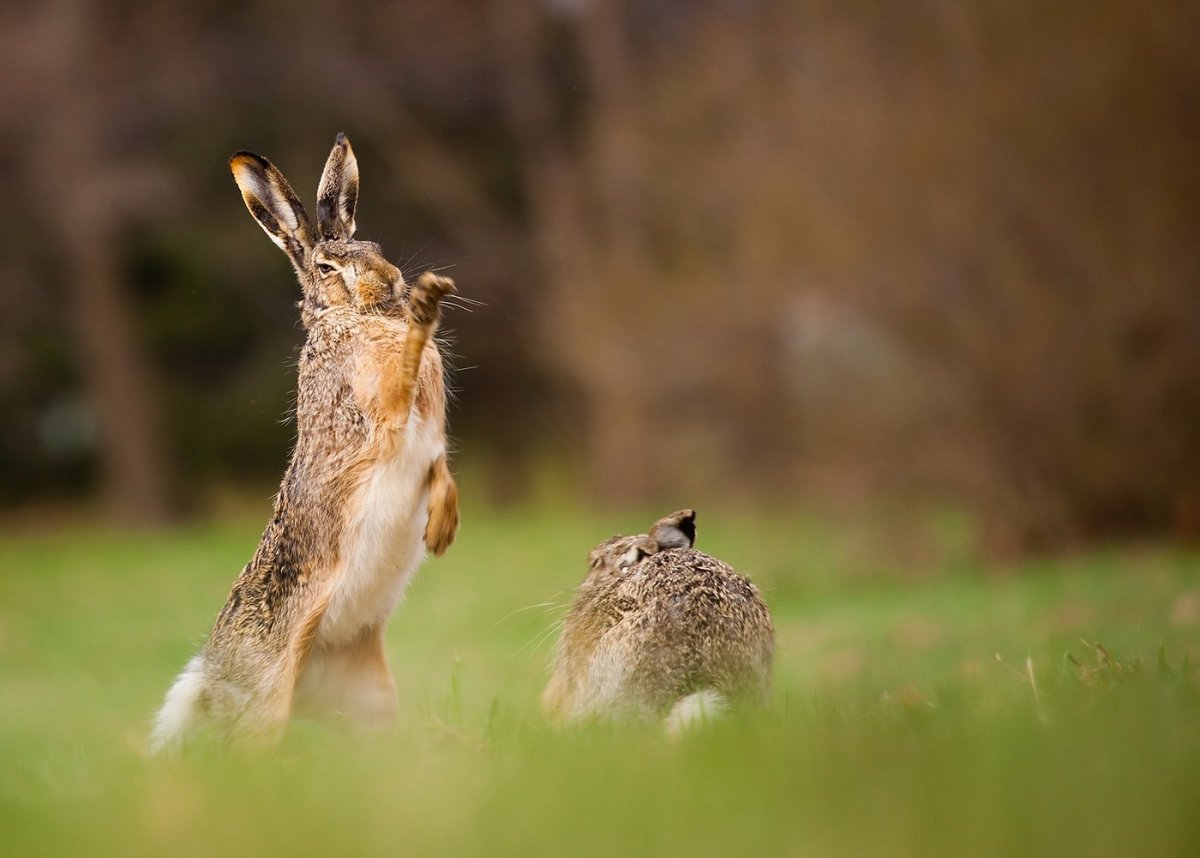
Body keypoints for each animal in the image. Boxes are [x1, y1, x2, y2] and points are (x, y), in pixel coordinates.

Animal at [150, 133, 460, 753]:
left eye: (375, 246)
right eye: (326, 267)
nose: (395, 281)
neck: (355, 316)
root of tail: (210, 681)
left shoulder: (429, 443)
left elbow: (442, 469)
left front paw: (443, 528)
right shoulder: (385, 410)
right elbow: (405, 369)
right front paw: (427, 305)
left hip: (371, 694)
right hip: (270, 701)